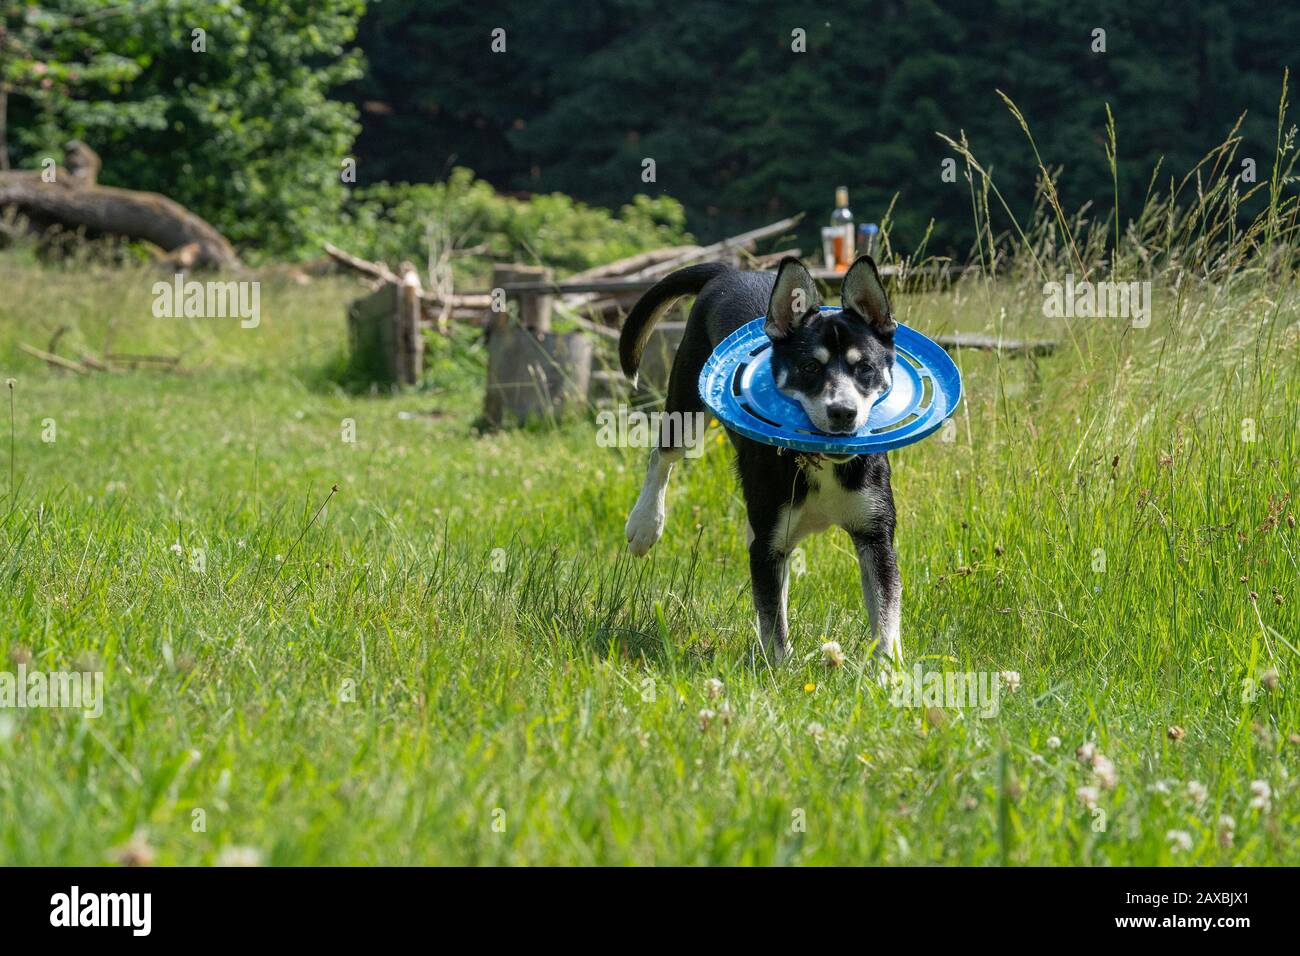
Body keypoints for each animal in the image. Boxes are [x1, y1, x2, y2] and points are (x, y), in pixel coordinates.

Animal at [618, 256, 904, 665]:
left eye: (864, 367)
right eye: (809, 368)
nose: (843, 413)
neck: (821, 463)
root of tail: (730, 272)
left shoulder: (875, 536)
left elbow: (885, 618)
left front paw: (888, 673)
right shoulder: (770, 542)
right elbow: (774, 627)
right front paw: (779, 671)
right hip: (686, 402)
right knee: (663, 455)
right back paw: (645, 523)